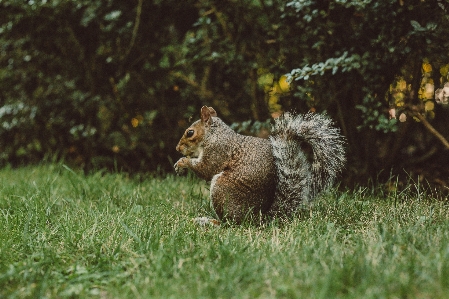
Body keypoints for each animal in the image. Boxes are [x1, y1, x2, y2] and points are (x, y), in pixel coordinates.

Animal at [173, 106, 344, 224]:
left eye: (190, 132)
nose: (177, 149)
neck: (215, 135)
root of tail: (258, 218)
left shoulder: (218, 151)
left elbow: (206, 169)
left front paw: (182, 162)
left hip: (222, 189)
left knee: (230, 223)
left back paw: (211, 222)